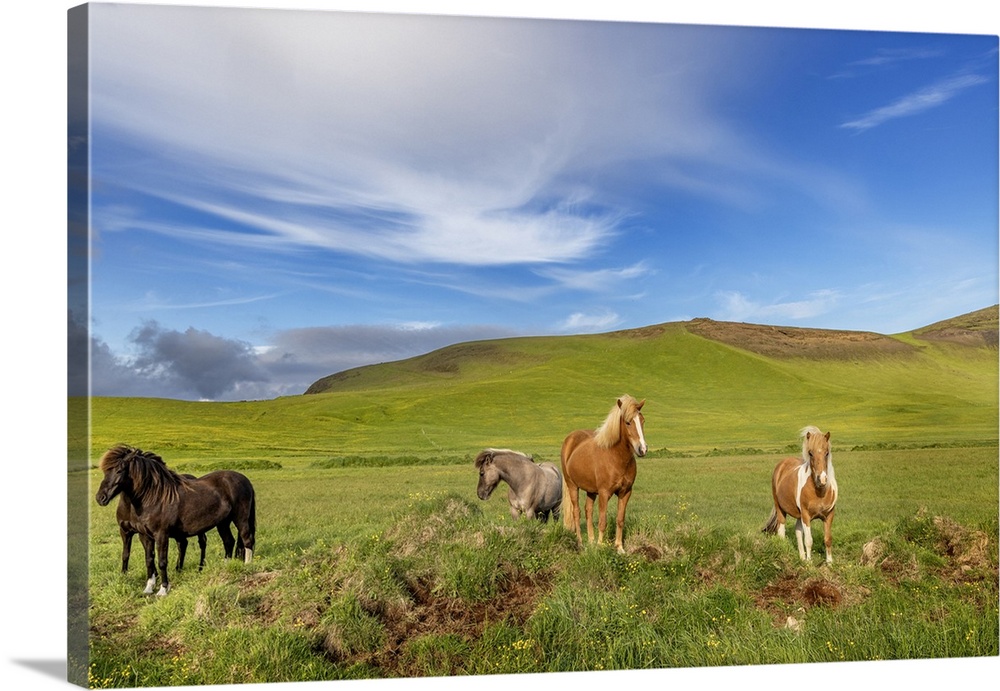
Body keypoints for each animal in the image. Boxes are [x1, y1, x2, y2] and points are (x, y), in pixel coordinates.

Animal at [95, 445, 257, 595]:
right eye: (105, 471)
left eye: (119, 471)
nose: (100, 497)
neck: (154, 497)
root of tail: (245, 480)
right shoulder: (145, 536)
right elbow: (149, 560)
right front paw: (148, 588)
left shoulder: (161, 535)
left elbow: (161, 561)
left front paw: (163, 589)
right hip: (222, 523)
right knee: (229, 542)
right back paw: (224, 567)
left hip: (240, 518)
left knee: (246, 539)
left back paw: (247, 566)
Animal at [560, 395, 647, 553]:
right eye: (628, 422)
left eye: (642, 421)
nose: (642, 449)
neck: (615, 457)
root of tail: (569, 439)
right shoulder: (604, 493)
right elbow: (602, 521)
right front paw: (601, 547)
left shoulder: (625, 492)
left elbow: (620, 520)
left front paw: (619, 548)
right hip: (572, 486)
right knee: (577, 512)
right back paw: (580, 543)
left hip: (590, 491)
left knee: (588, 511)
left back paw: (591, 541)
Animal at [762, 426, 838, 564]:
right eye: (810, 453)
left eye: (827, 453)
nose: (822, 479)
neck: (819, 492)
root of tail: (782, 463)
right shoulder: (806, 516)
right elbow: (808, 540)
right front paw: (810, 563)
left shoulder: (829, 515)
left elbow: (828, 539)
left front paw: (829, 563)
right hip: (780, 509)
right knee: (781, 531)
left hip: (799, 515)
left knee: (798, 531)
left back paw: (802, 558)